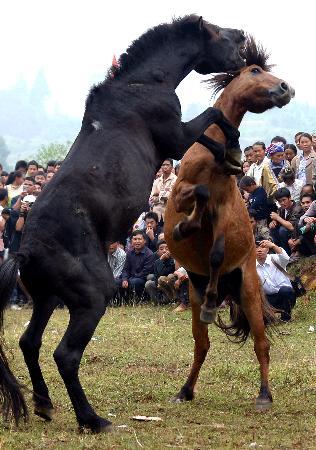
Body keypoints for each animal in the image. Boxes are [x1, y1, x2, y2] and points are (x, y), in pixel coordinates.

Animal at [0, 14, 244, 432]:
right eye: (218, 32)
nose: (243, 38)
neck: (142, 84)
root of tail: (24, 251)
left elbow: (209, 137)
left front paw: (230, 156)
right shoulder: (176, 136)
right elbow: (213, 120)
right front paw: (232, 147)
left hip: (46, 298)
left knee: (30, 343)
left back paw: (45, 405)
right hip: (91, 297)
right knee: (65, 355)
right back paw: (92, 419)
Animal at [164, 37, 296, 412]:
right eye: (254, 70)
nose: (286, 88)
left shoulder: (224, 209)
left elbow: (217, 251)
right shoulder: (180, 192)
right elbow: (198, 197)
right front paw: (181, 229)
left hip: (248, 291)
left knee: (261, 344)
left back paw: (264, 395)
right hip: (193, 295)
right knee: (202, 345)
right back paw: (185, 390)